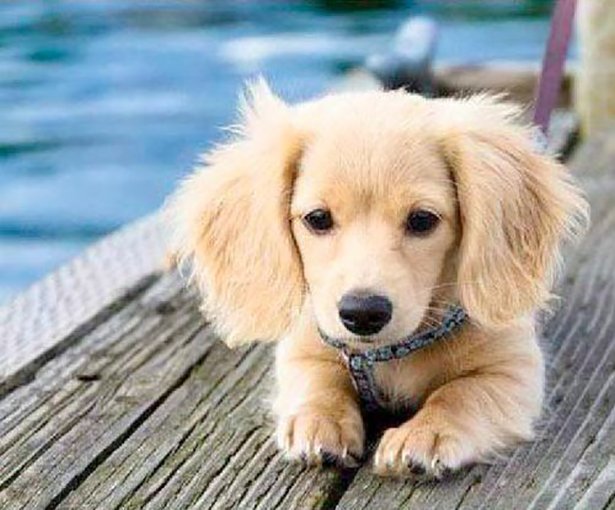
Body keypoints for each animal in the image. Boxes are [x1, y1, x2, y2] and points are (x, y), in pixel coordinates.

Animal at [168, 80, 588, 478]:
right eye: (317, 218)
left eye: (422, 220)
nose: (363, 314)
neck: (391, 352)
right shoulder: (305, 345)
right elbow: (320, 379)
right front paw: (318, 421)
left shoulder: (513, 370)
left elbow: (460, 394)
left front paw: (425, 434)